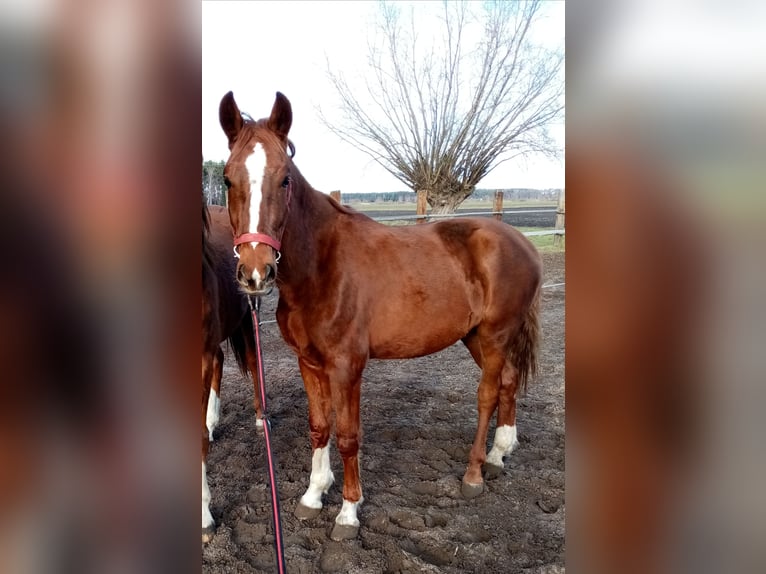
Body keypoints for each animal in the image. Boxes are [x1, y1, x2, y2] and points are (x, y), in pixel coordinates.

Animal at [219, 92, 544, 544]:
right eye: (227, 180)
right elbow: (319, 427)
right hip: (476, 336)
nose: (255, 273)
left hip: (496, 336)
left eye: (284, 179)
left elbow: (347, 436)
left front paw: (348, 512)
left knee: (487, 395)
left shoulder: (347, 367)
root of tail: (521, 243)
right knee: (510, 383)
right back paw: (499, 454)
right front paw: (313, 495)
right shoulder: (309, 363)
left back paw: (474, 473)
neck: (323, 268)